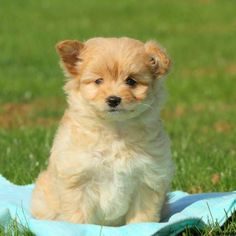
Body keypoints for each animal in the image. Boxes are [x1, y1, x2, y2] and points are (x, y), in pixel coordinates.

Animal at [30, 36, 173, 225]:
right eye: (98, 81)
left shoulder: (147, 181)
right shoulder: (78, 180)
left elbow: (142, 218)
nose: (113, 99)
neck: (115, 132)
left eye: (131, 81)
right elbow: (78, 217)